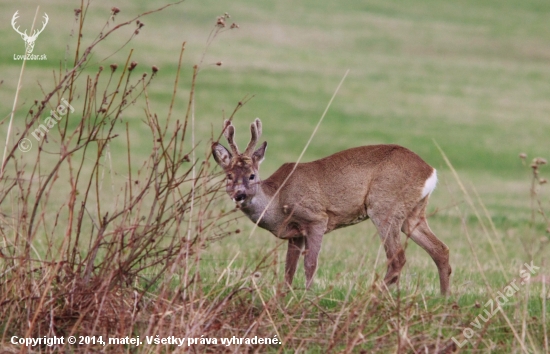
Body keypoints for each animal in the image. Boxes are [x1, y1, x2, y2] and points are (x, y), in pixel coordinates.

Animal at [212, 117, 452, 294]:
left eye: (252, 175)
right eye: (229, 176)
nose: (240, 195)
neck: (277, 200)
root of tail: (430, 171)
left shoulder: (316, 218)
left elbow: (310, 263)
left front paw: (307, 296)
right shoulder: (295, 233)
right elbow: (289, 268)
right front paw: (284, 296)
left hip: (385, 206)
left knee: (397, 259)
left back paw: (372, 295)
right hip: (413, 213)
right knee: (440, 250)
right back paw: (444, 298)